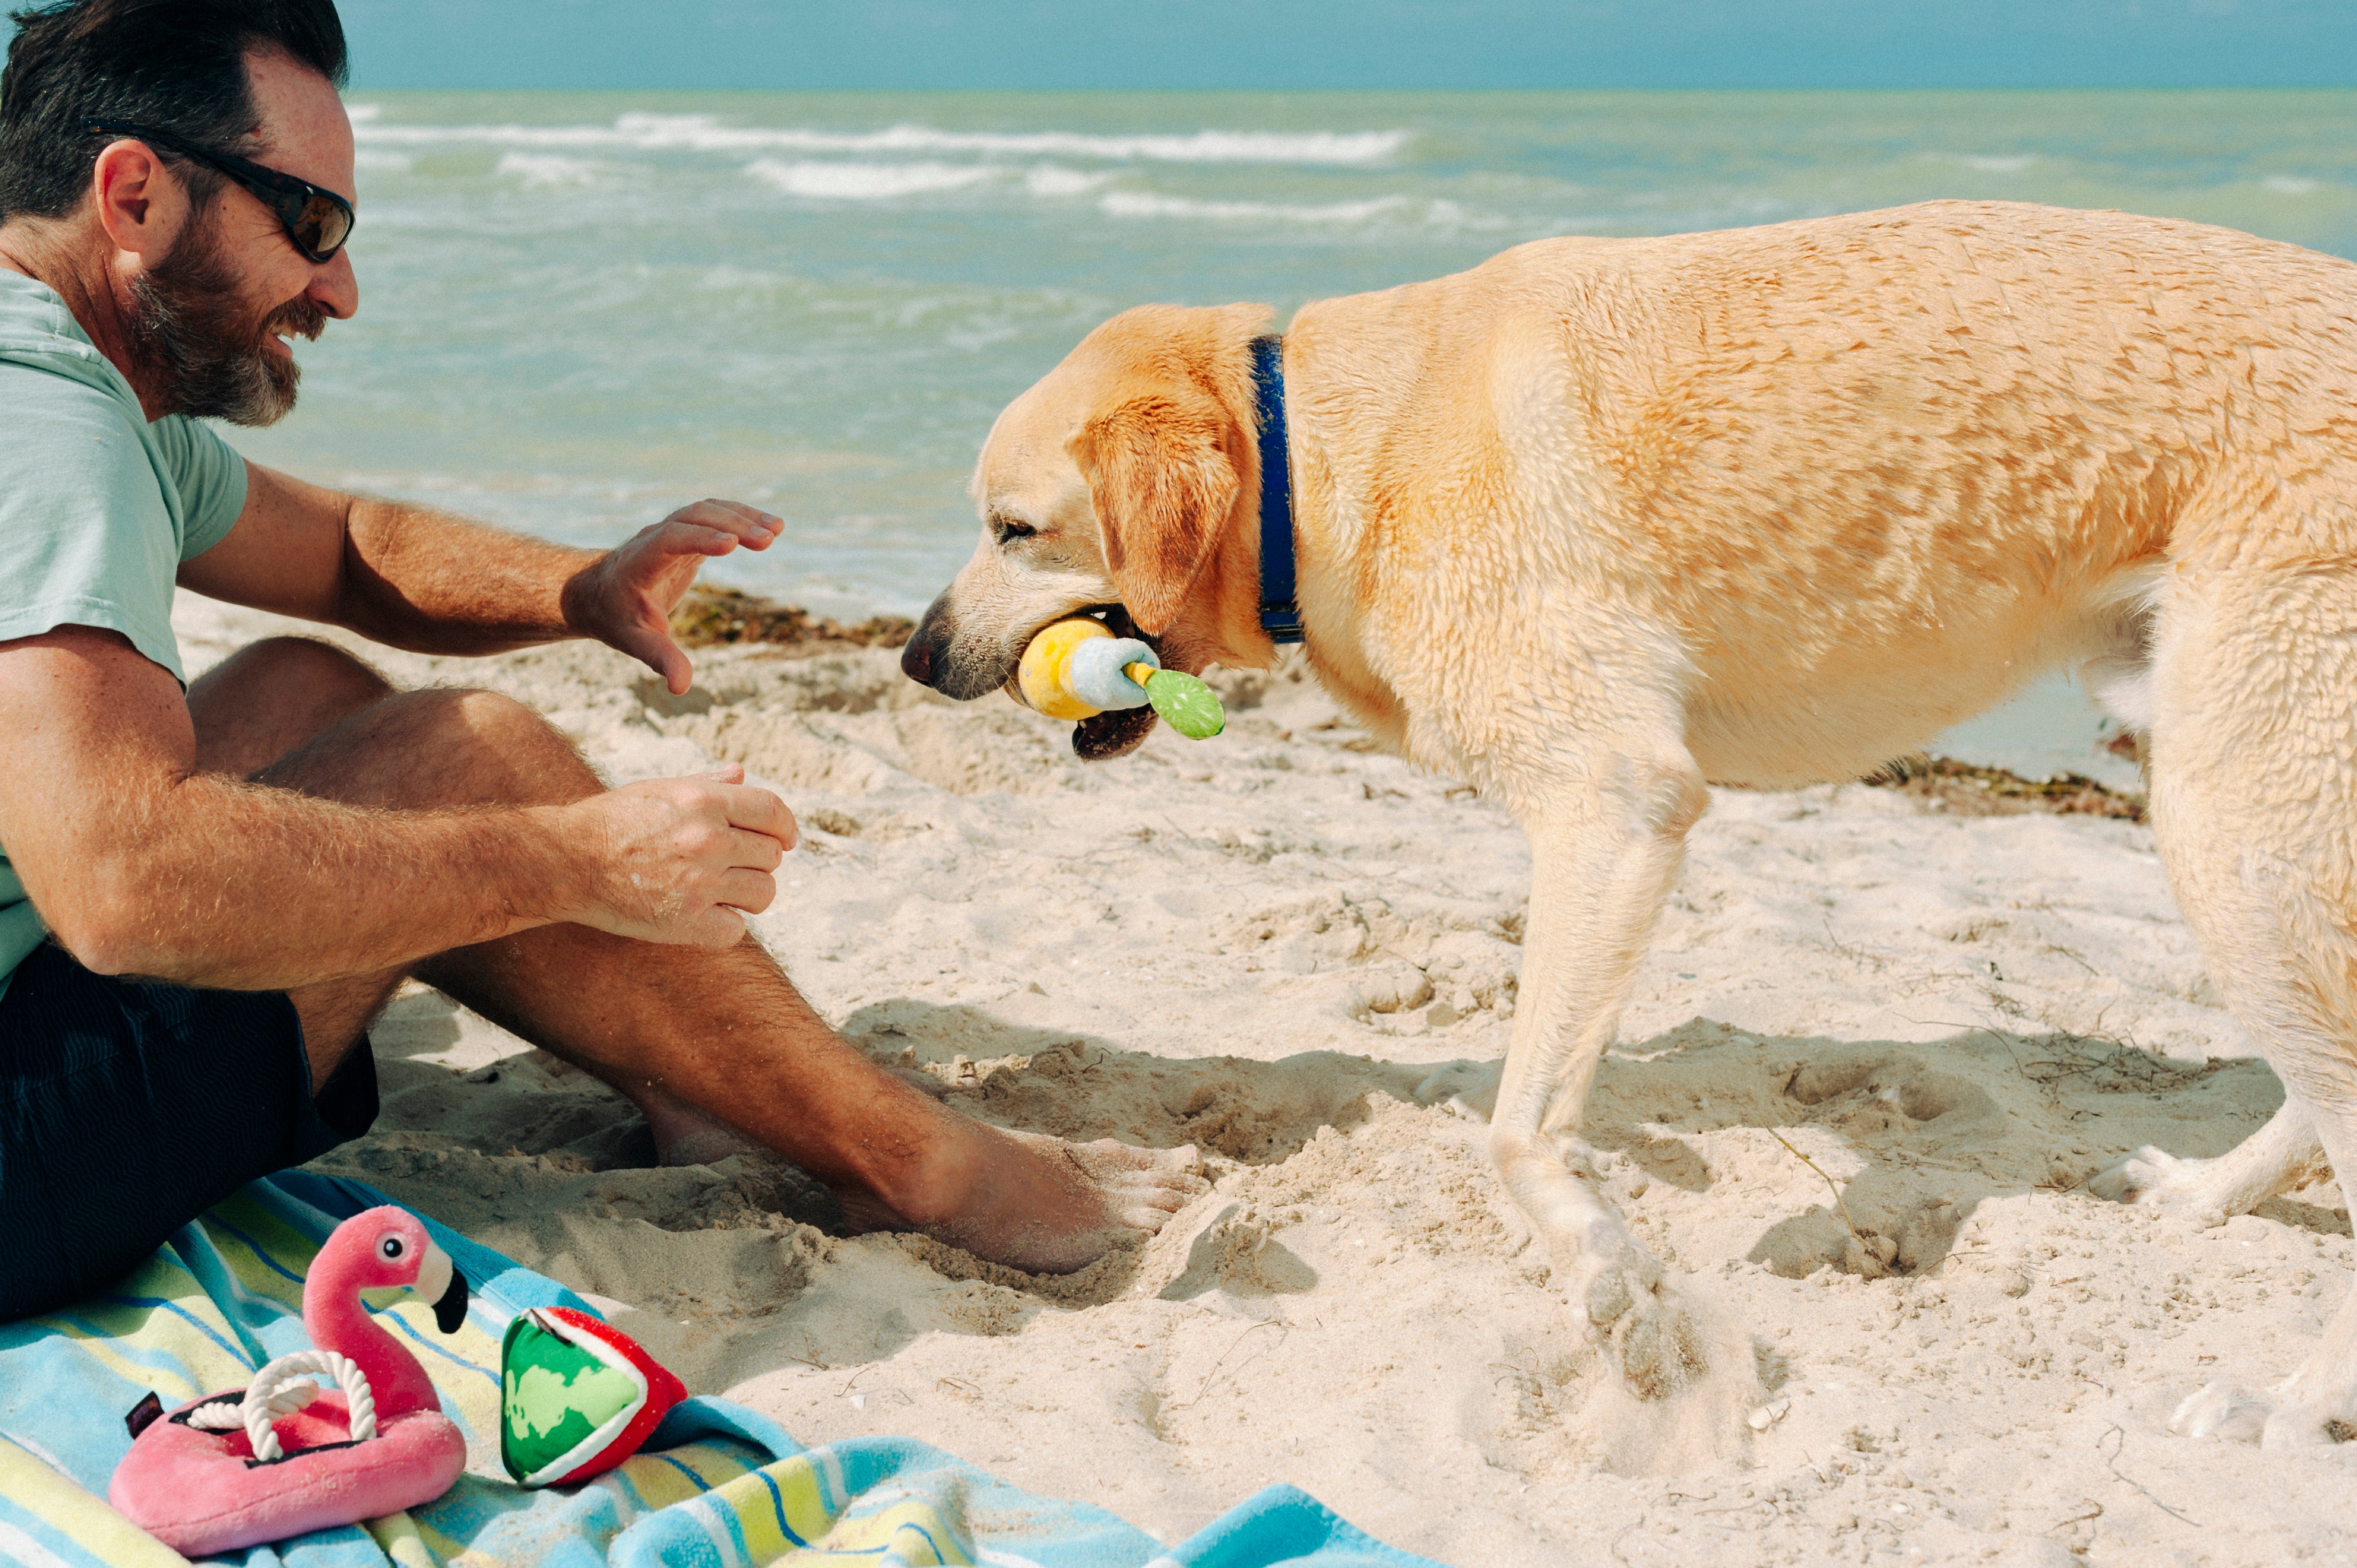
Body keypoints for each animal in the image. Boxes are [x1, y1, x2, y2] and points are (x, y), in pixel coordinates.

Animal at [896, 199, 2357, 1443]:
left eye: (1014, 529)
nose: (912, 656)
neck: (1321, 452)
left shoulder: (1613, 802)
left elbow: (1516, 1128)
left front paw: (1616, 1284)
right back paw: (2211, 1199)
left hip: (2237, 826)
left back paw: (2293, 1395)